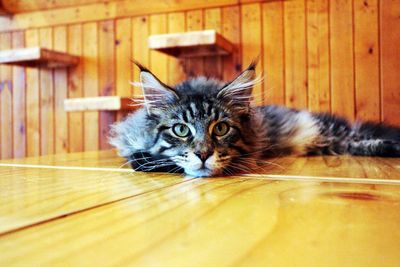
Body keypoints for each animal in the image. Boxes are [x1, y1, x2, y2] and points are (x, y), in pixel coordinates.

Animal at [109, 60, 400, 178]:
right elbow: (146, 158)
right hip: (329, 143)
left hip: (326, 130)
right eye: (181, 130)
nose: (203, 154)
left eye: (221, 128)